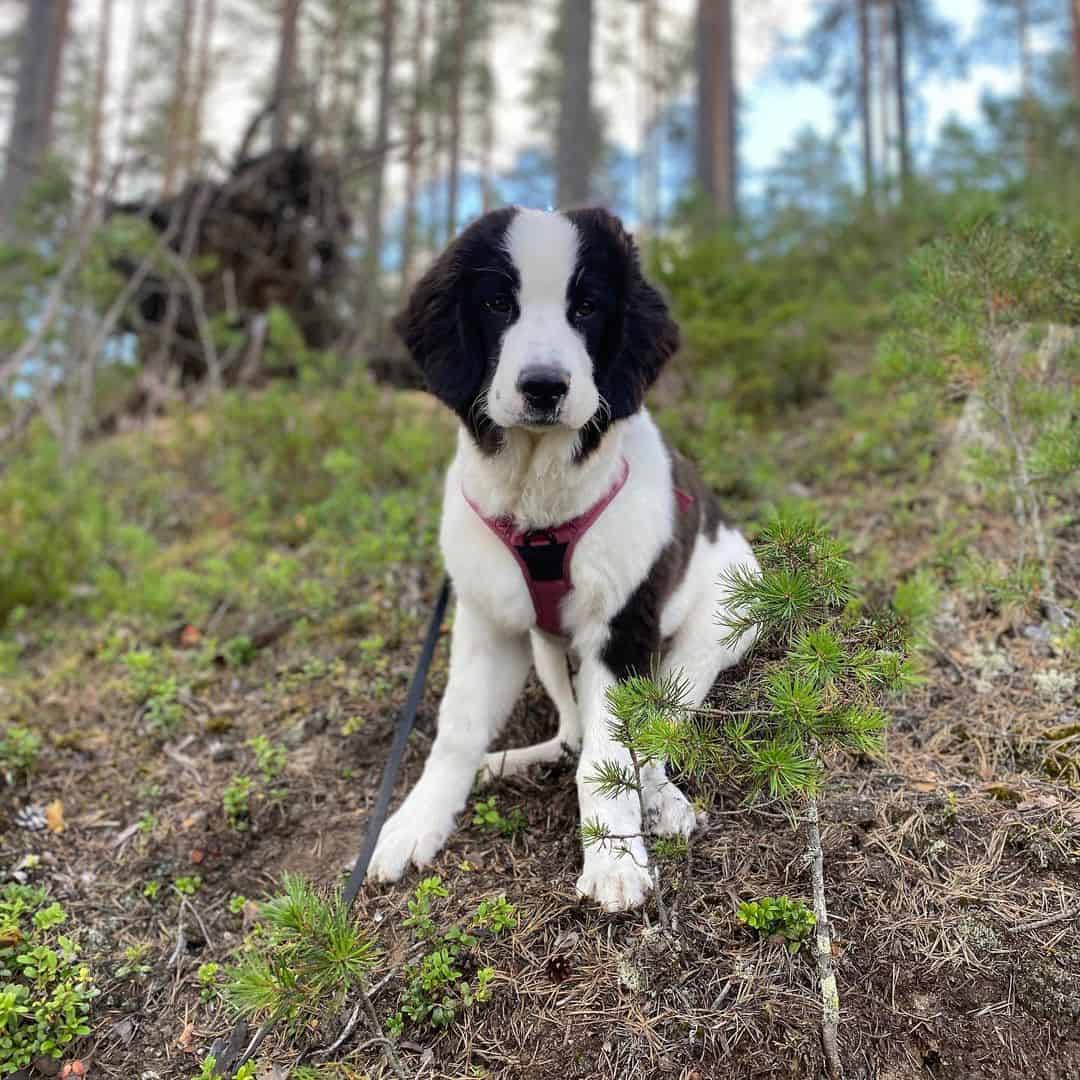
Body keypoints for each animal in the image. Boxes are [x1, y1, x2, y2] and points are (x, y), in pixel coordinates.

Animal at [371, 204, 760, 911]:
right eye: (497, 303)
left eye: (587, 307)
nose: (545, 387)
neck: (536, 499)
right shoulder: (488, 623)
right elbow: (458, 727)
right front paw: (416, 822)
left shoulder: (622, 628)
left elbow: (610, 758)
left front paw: (614, 859)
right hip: (546, 650)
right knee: (572, 732)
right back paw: (509, 762)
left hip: (709, 636)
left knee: (654, 731)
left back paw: (662, 801)